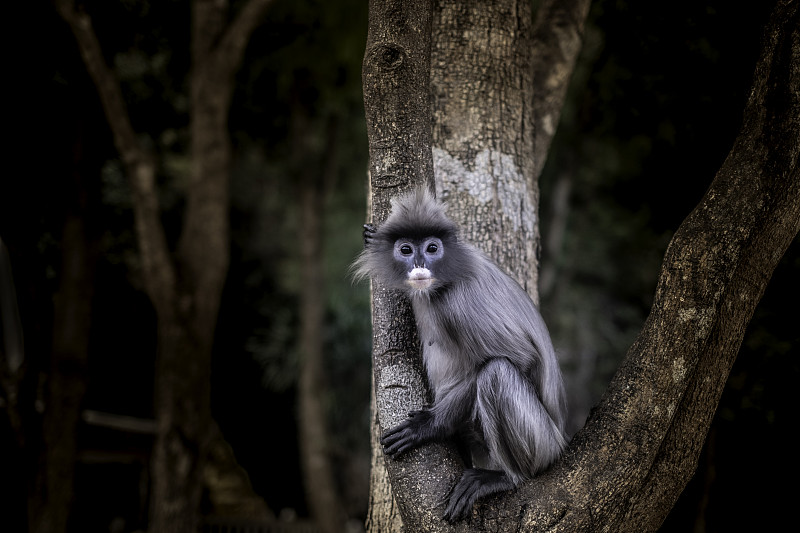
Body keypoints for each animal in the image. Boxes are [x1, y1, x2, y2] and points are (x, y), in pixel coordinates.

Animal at [352, 186, 568, 520]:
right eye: (405, 250)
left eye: (432, 248)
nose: (419, 263)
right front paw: (370, 237)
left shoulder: (461, 301)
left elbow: (523, 358)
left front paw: (429, 426)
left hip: (544, 444)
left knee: (496, 372)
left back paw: (505, 477)